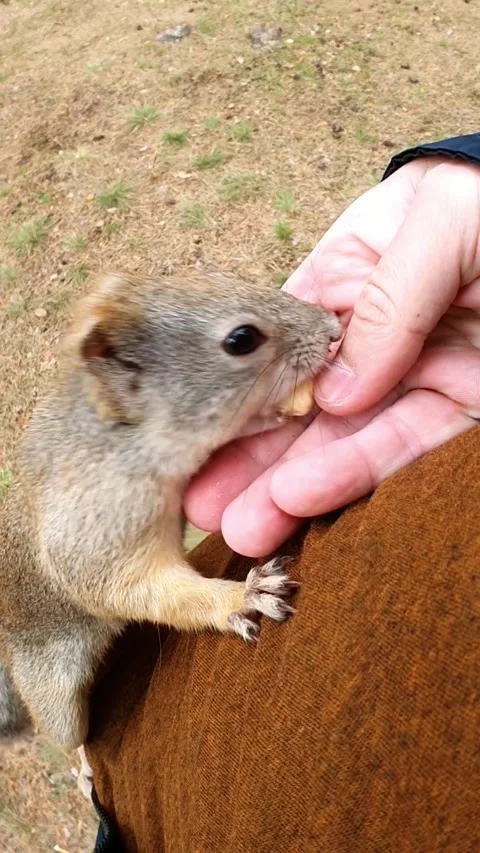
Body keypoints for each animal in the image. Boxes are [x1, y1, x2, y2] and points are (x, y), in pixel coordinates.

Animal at [0, 270, 340, 762]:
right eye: (241, 339)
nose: (333, 328)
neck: (125, 438)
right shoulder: (94, 531)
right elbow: (136, 590)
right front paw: (240, 597)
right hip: (46, 681)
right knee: (67, 733)